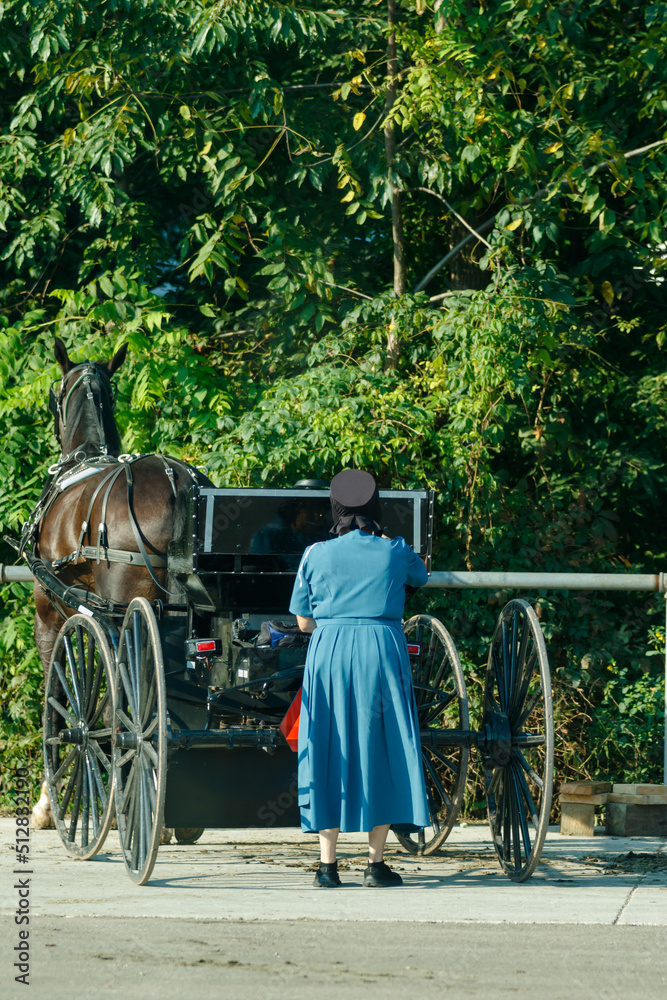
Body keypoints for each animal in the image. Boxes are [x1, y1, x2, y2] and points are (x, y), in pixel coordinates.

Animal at [28, 336, 211, 828]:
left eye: (53, 394)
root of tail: (175, 478)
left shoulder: (51, 615)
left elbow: (58, 702)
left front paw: (48, 806)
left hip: (124, 614)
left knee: (123, 706)